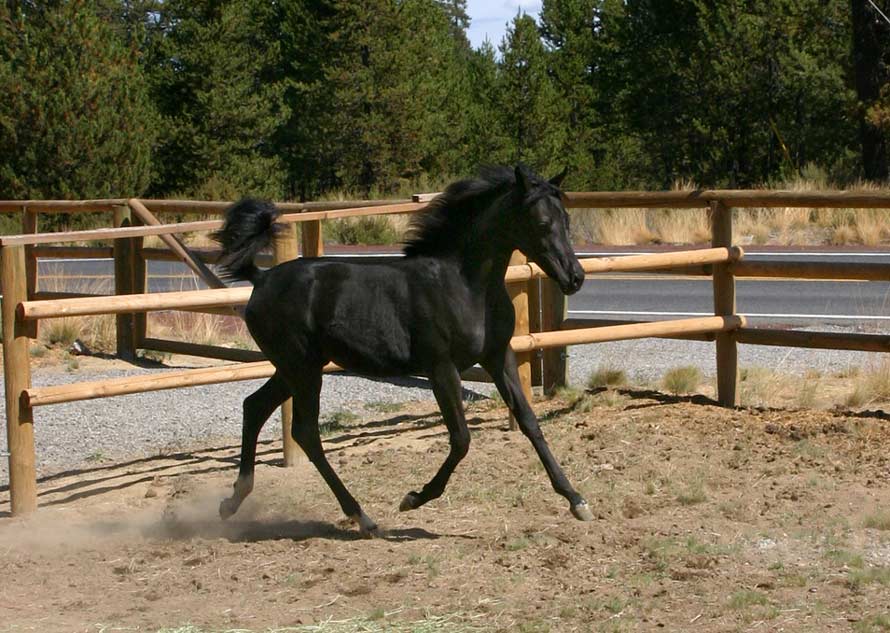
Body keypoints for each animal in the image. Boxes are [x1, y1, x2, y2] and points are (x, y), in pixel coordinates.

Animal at [213, 164, 588, 532]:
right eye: (542, 223)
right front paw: (414, 498)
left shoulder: (498, 357)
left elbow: (529, 421)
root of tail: (261, 279)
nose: (575, 277)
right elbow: (461, 438)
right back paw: (361, 516)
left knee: (255, 407)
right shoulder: (442, 368)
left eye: (567, 220)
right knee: (305, 432)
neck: (465, 285)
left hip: (296, 368)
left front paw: (576, 500)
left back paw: (233, 501)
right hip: (301, 369)